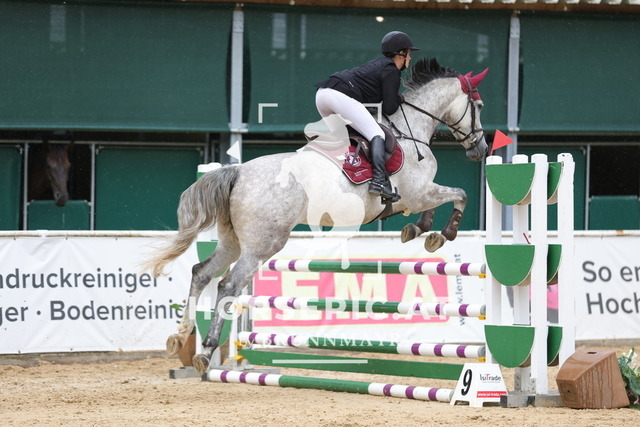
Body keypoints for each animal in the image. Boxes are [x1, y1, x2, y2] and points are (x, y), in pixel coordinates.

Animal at [143, 58, 490, 375]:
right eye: (479, 105)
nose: (482, 149)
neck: (411, 130)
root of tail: (238, 172)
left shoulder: (419, 195)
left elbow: (438, 203)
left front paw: (420, 231)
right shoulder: (418, 193)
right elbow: (460, 194)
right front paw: (442, 234)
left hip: (233, 241)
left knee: (201, 273)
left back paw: (180, 337)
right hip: (262, 245)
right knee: (228, 285)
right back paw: (206, 349)